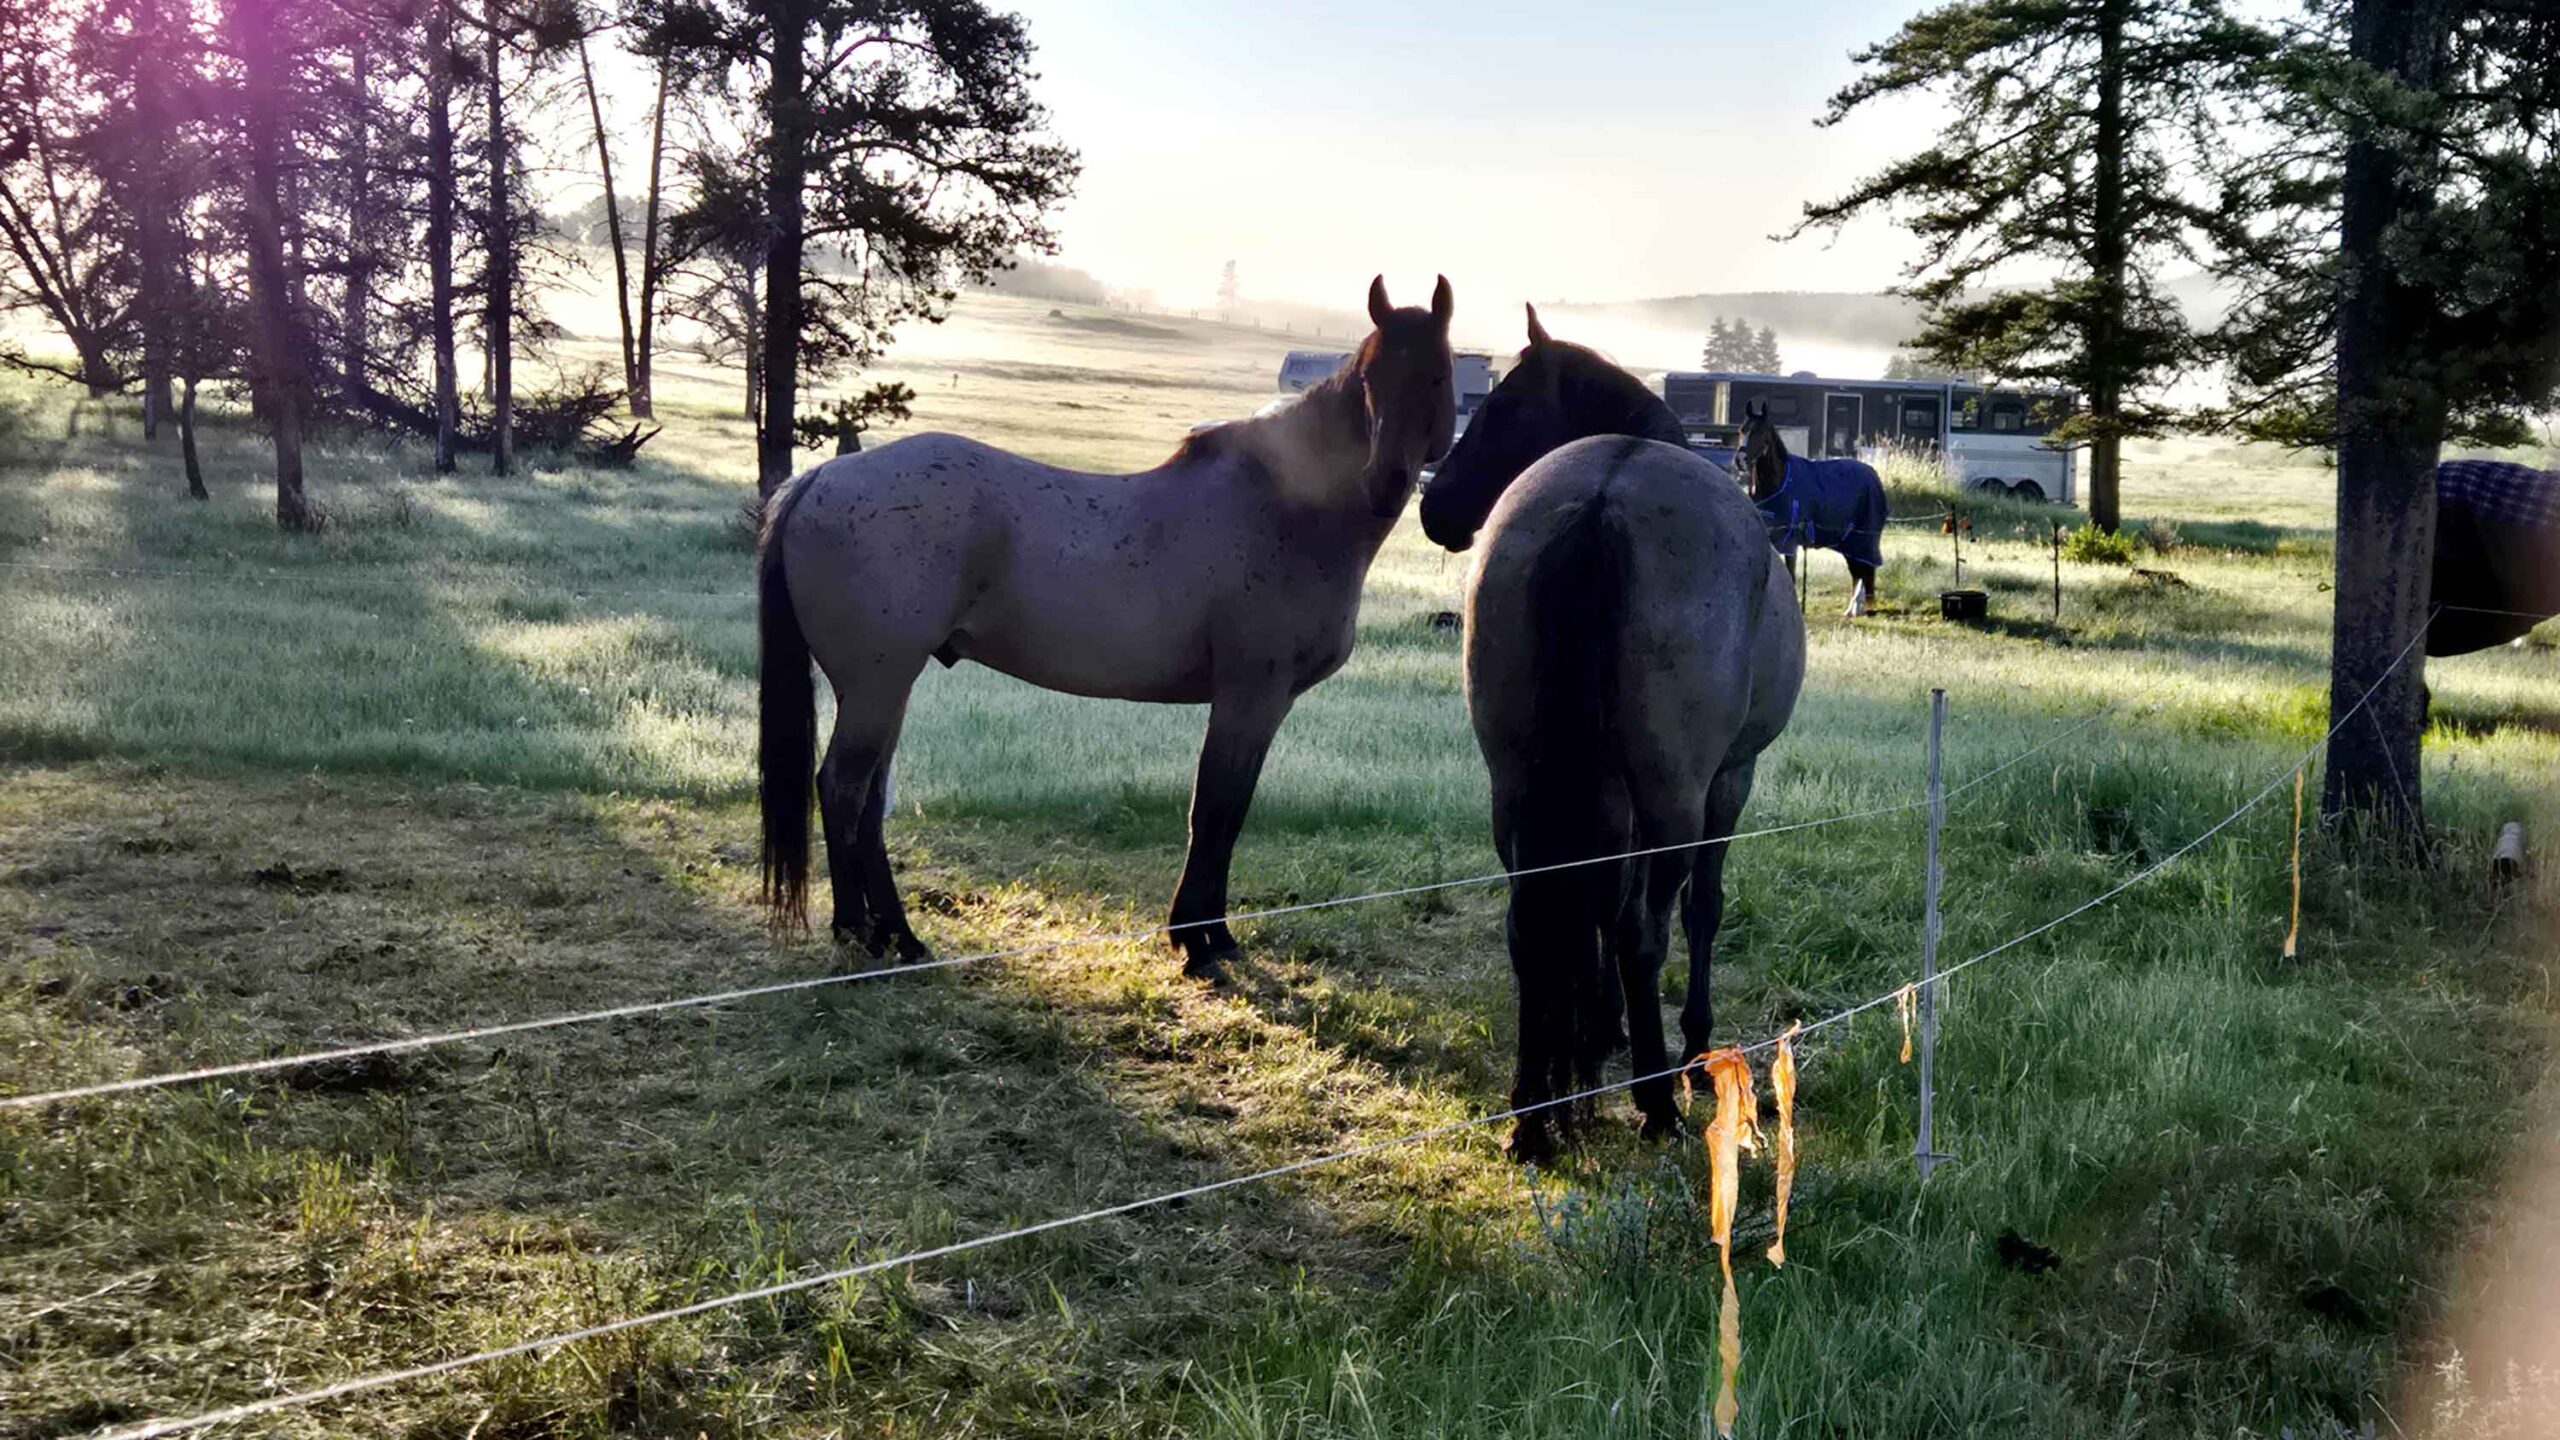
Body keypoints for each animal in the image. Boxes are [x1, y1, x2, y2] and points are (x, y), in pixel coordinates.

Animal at [759, 276, 1457, 979]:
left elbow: (1228, 812)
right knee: (843, 789)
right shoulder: (1249, 697)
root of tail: (822, 476)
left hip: (886, 686)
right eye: (1367, 380)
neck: (1291, 508)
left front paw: (1214, 934)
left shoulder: (1263, 704)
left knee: (870, 801)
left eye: (1435, 375)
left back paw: (899, 935)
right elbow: (1216, 812)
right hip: (876, 685)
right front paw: (1198, 942)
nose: (1386, 481)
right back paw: (857, 931)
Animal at [1418, 306, 1805, 1161]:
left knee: (1532, 924)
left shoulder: (1602, 800)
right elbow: (1699, 908)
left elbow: (1587, 906)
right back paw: (1656, 1099)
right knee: (1642, 929)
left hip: (1516, 786)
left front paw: (1592, 1039)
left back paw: (1535, 1112)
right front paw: (1684, 1046)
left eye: (1501, 408)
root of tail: (1601, 498)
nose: (1436, 507)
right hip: (1672, 795)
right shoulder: (1727, 782)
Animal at [1734, 399, 1890, 616]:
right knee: (1858, 571)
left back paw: (1858, 609)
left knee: (1864, 569)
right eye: (1742, 430)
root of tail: (1873, 476)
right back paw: (1852, 609)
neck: (1780, 482)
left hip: (1863, 538)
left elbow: (1790, 575)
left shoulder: (1790, 541)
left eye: (1760, 431)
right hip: (1849, 540)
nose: (1740, 461)